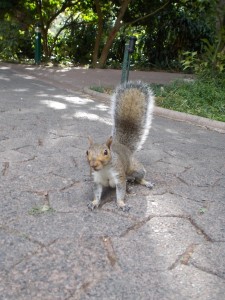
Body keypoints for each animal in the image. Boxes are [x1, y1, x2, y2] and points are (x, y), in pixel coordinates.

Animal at [86, 79, 155, 211]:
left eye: (106, 152)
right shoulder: (96, 179)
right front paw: (94, 202)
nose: (93, 165)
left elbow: (121, 191)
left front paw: (122, 204)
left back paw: (145, 183)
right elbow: (97, 192)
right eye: (87, 152)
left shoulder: (119, 177)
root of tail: (124, 147)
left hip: (136, 168)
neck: (105, 169)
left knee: (139, 177)